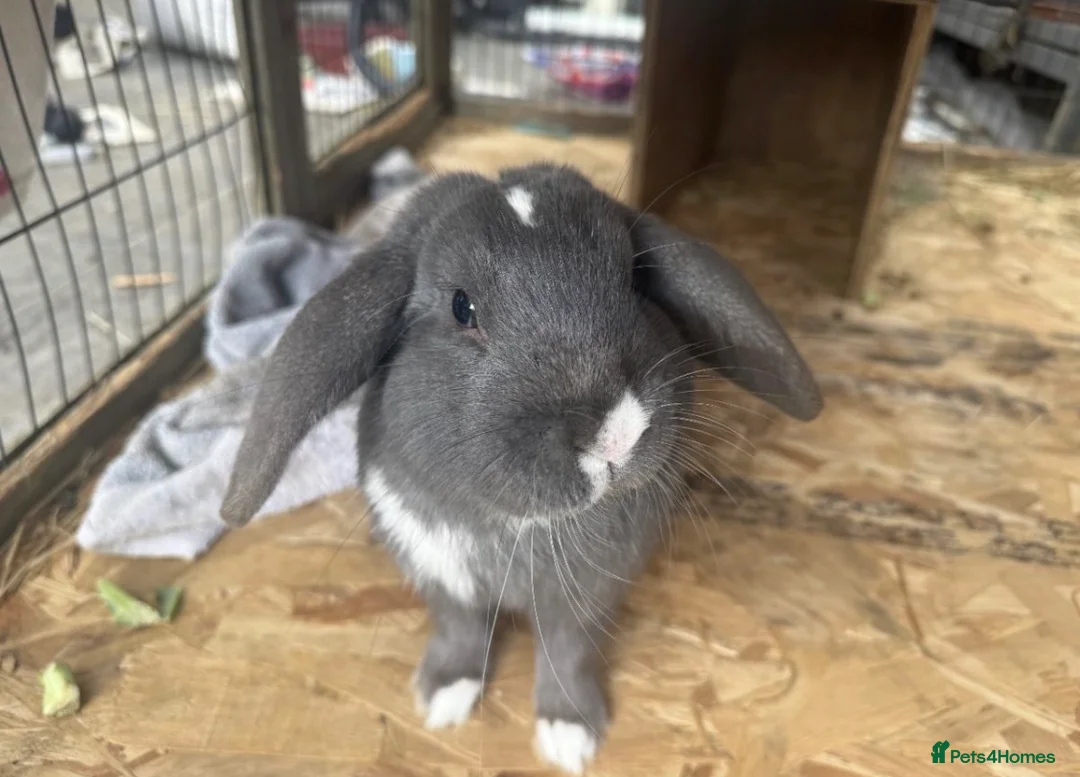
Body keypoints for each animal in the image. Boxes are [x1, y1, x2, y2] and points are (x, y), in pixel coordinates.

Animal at [219, 162, 822, 774]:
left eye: (635, 278)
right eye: (462, 307)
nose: (616, 433)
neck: (518, 530)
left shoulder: (586, 598)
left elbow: (566, 653)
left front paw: (569, 733)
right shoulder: (441, 576)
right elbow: (460, 633)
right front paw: (442, 698)